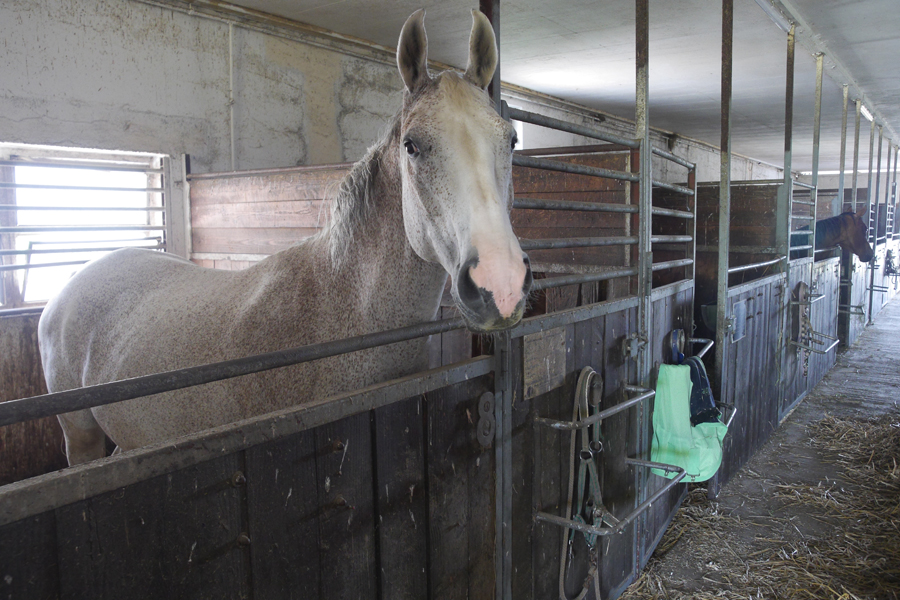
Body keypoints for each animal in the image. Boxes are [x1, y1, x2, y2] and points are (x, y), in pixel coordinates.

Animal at [39, 9, 532, 466]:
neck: (340, 308)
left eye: (510, 140)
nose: (501, 284)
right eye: (411, 145)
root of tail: (71, 285)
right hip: (80, 436)